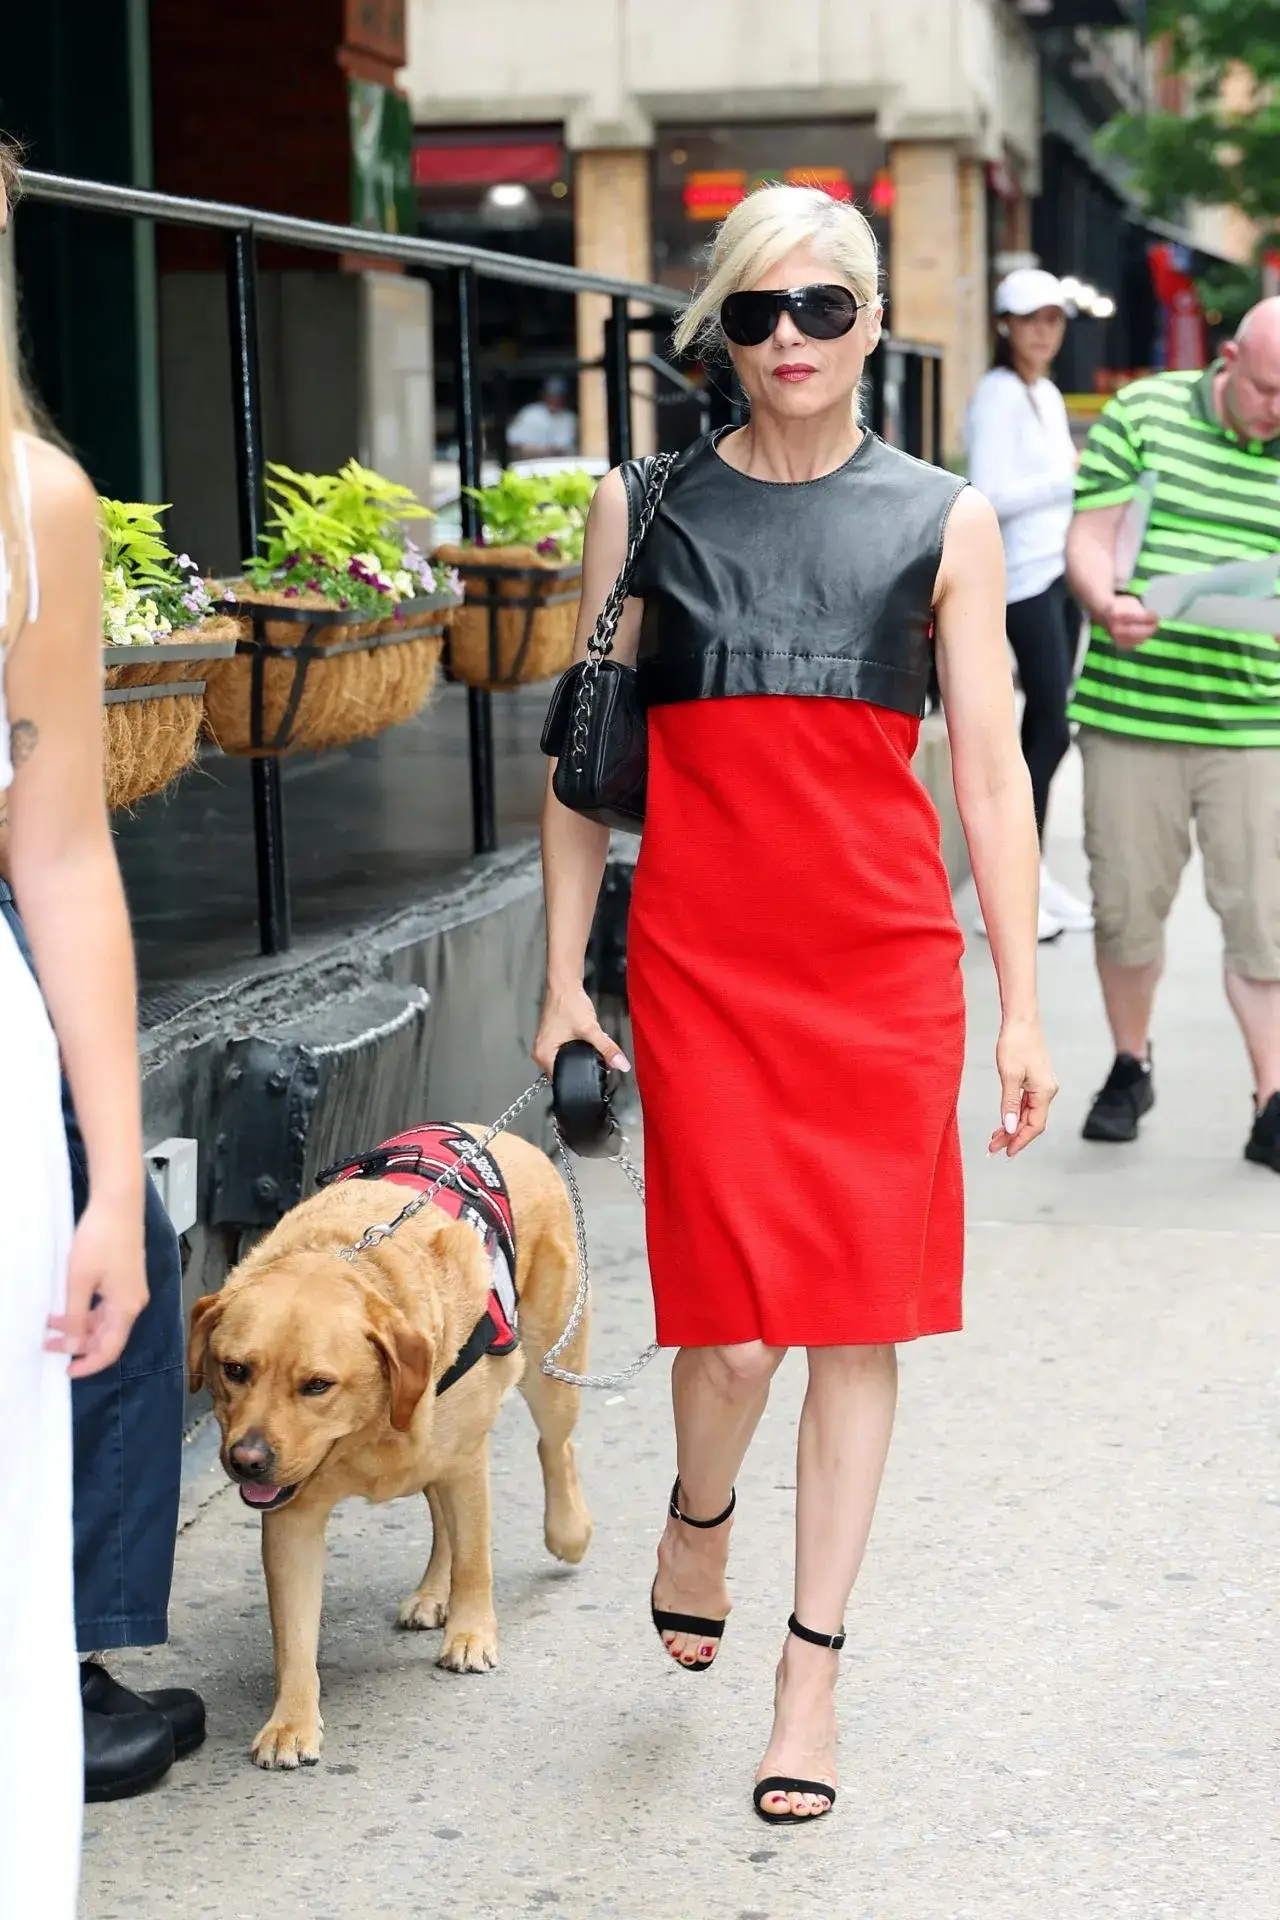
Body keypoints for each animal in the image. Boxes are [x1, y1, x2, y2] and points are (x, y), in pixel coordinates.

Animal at [188, 1121, 594, 1766]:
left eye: (317, 1384)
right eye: (234, 1370)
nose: (246, 1461)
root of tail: (499, 1136)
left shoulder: (465, 1461)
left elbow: (476, 1560)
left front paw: (472, 1633)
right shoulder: (293, 1516)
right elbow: (294, 1633)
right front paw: (292, 1720)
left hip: (549, 1369)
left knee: (555, 1449)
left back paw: (568, 1531)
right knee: (442, 1518)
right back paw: (433, 1592)